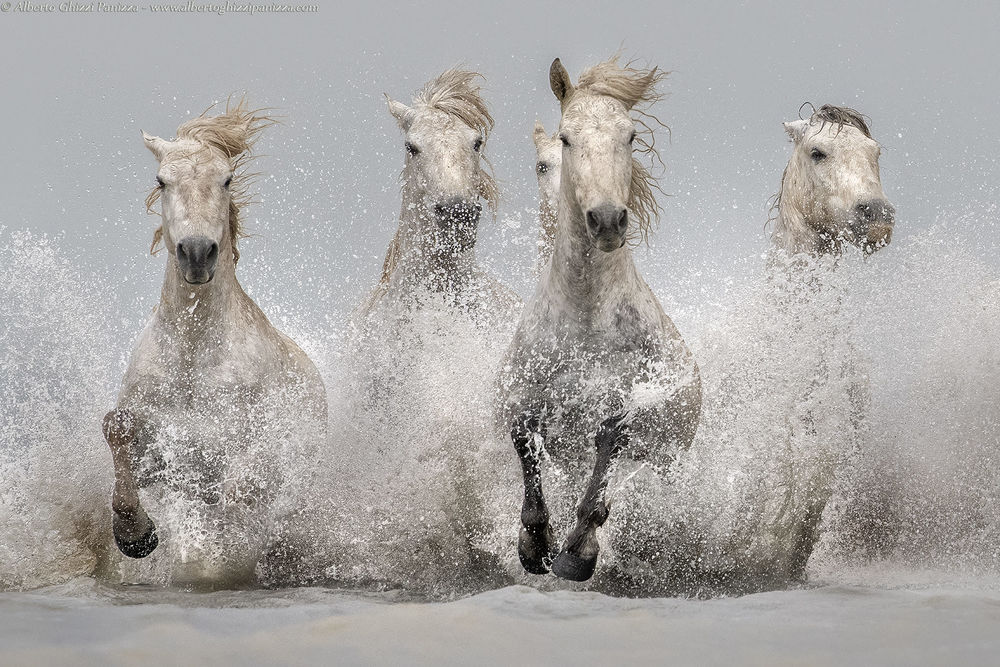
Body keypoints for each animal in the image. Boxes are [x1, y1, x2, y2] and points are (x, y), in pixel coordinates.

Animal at [103, 100, 327, 586]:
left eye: (225, 179)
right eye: (161, 180)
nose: (196, 253)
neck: (193, 354)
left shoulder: (243, 447)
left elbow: (240, 490)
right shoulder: (161, 447)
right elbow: (116, 428)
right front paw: (135, 535)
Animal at [497, 57, 702, 582]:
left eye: (630, 136)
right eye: (567, 139)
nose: (607, 220)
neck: (585, 320)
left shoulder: (626, 407)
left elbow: (607, 451)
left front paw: (575, 555)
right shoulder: (523, 399)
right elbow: (526, 449)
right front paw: (535, 548)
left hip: (668, 461)